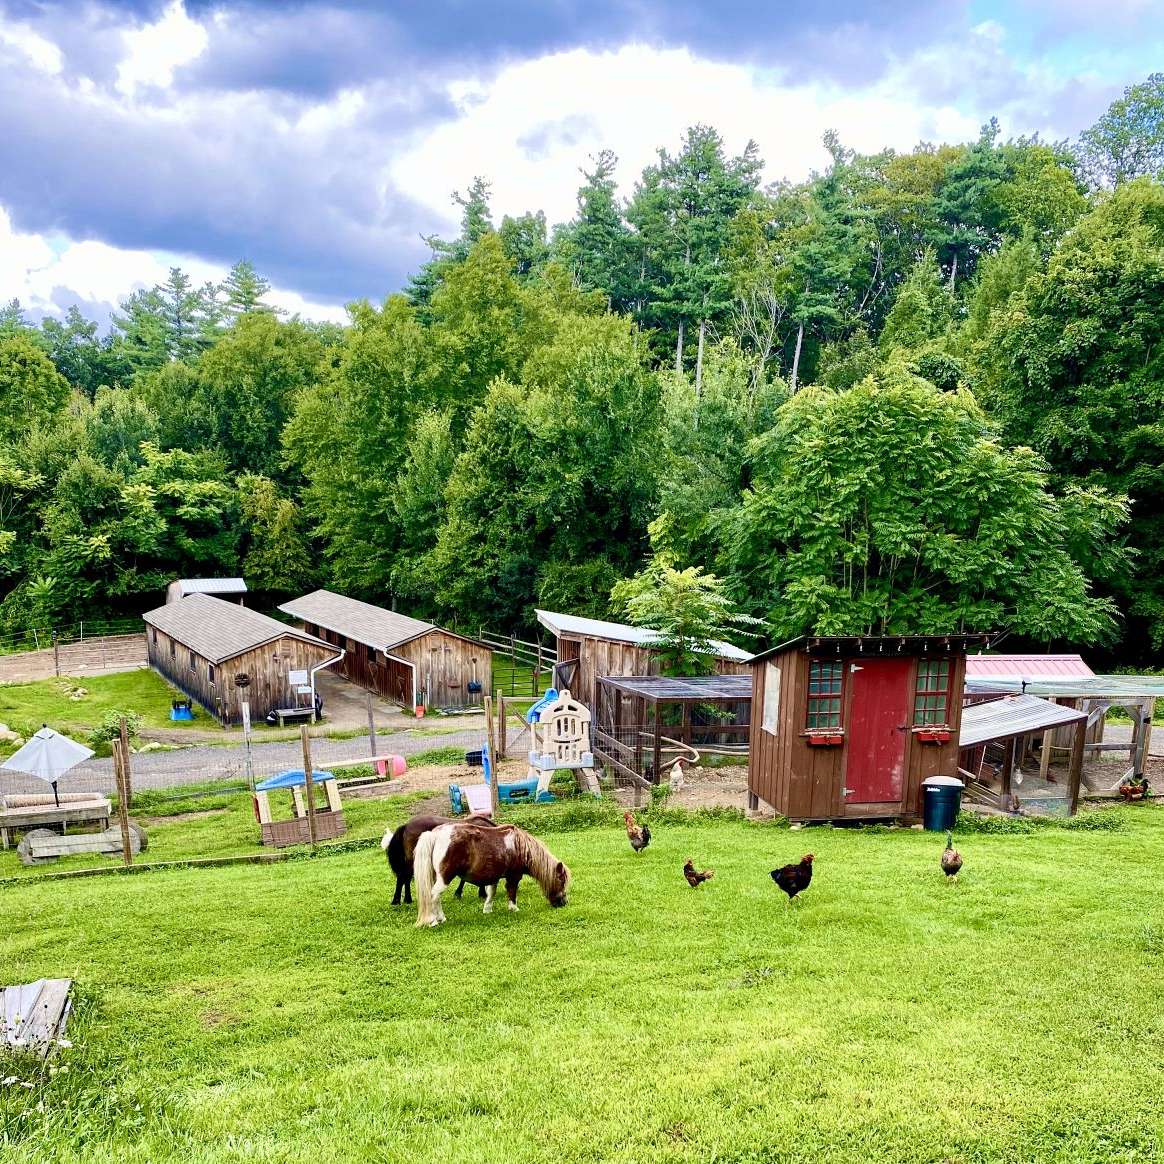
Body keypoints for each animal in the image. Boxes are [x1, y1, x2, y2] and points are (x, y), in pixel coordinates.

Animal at [414, 819, 572, 926]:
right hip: (445, 878)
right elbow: (511, 891)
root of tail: (435, 835)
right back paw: (436, 920)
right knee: (433, 896)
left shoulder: (493, 876)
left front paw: (487, 910)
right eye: (562, 881)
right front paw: (514, 908)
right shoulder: (514, 876)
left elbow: (491, 892)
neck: (519, 846)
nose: (563, 903)